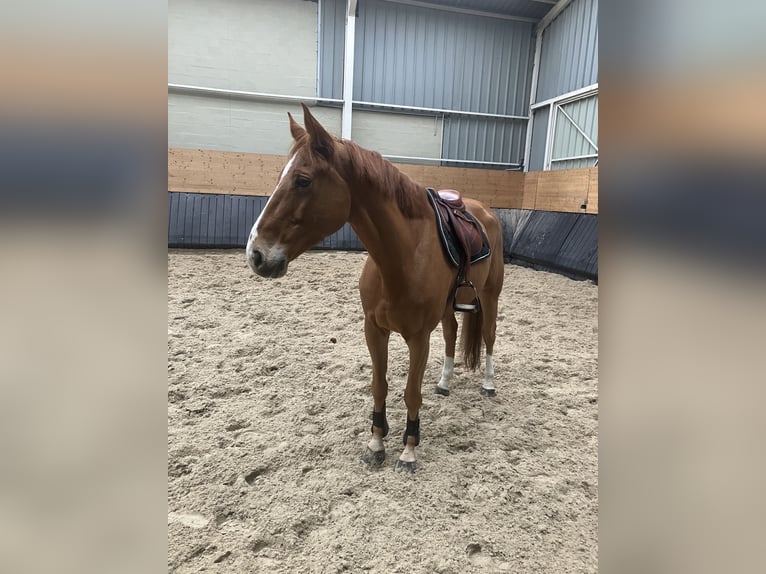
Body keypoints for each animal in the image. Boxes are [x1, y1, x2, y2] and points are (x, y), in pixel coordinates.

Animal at [249, 106, 508, 474]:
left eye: (302, 180)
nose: (256, 254)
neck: (401, 257)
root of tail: (485, 211)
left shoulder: (418, 338)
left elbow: (411, 392)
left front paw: (409, 449)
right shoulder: (374, 329)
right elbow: (379, 385)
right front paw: (376, 442)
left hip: (489, 295)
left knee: (488, 335)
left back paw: (488, 383)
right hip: (449, 307)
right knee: (452, 333)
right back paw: (444, 382)